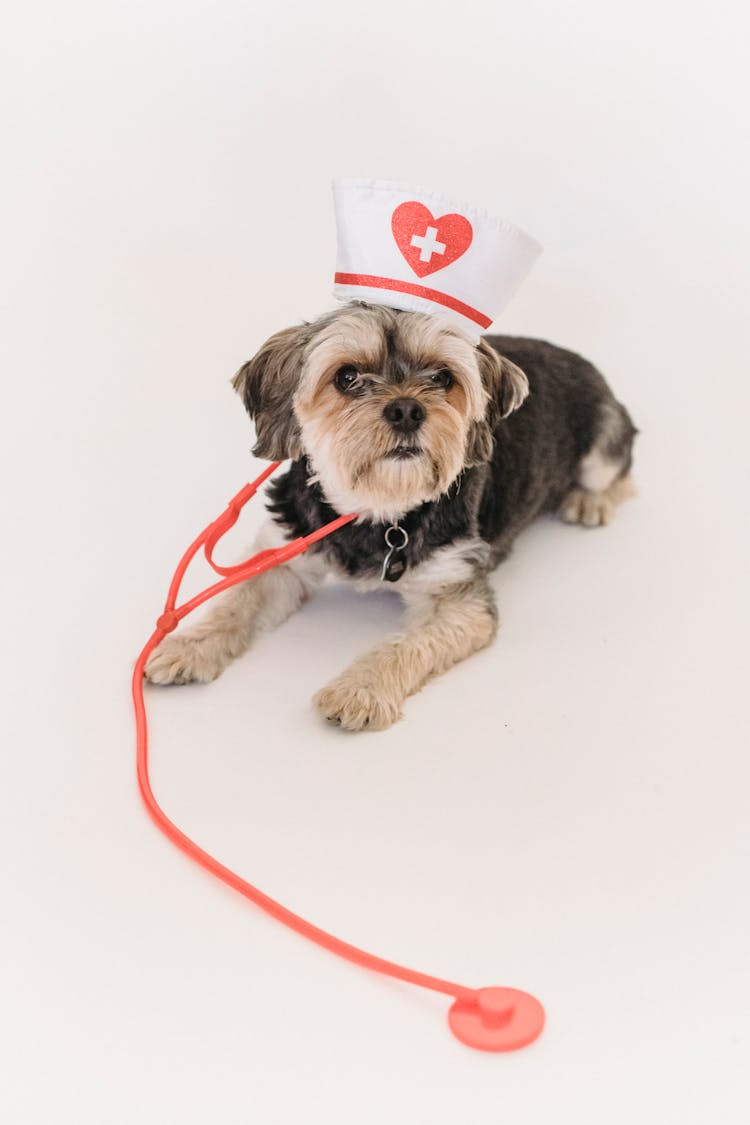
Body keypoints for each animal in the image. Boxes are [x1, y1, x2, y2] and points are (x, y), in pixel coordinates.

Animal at [146, 303, 638, 729]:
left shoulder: (459, 596)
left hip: (603, 439)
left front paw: (360, 690)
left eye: (442, 377)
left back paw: (589, 501)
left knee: (621, 469)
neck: (379, 509)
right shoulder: (285, 552)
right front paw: (187, 646)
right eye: (347, 377)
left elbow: (406, 645)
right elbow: (236, 601)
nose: (406, 409)